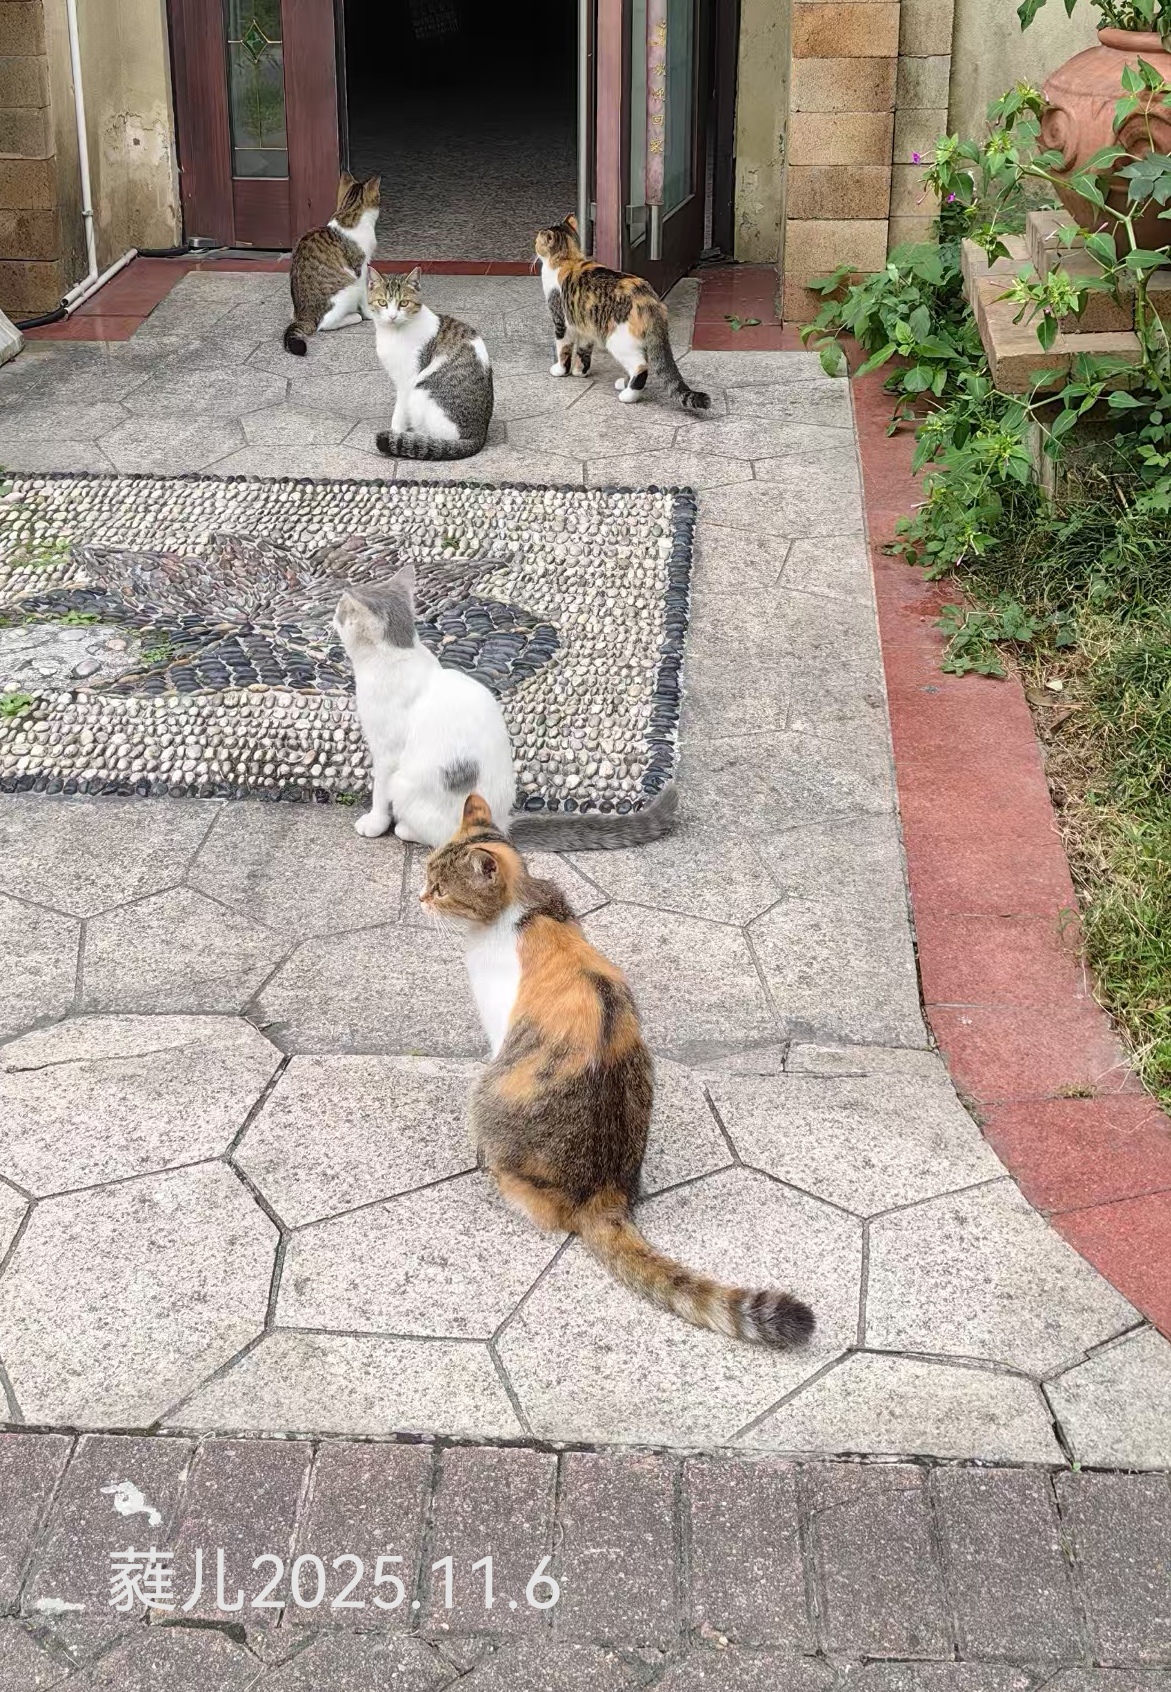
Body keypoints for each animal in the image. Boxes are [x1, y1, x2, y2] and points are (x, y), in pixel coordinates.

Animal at [283, 172, 382, 356]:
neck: (348, 212)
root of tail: (304, 316)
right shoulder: (361, 269)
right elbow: (366, 294)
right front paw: (369, 313)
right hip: (350, 288)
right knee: (324, 324)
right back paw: (354, 317)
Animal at [334, 566, 681, 849]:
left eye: (341, 612)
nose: (333, 614)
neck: (397, 654)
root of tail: (499, 826)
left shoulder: (387, 753)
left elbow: (380, 792)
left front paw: (374, 823)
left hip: (408, 783)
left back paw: (406, 829)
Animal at [367, 268, 494, 460]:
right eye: (383, 302)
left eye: (404, 303)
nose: (392, 316)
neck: (393, 333)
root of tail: (478, 435)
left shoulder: (408, 380)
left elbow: (399, 412)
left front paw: (395, 432)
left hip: (420, 391)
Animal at [422, 794, 816, 1347]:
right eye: (426, 875)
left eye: (440, 888)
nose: (419, 897)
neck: (525, 909)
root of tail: (603, 1194)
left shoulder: (500, 1035)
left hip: (491, 1096)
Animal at [534, 215, 710, 411]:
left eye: (537, 241)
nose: (534, 243)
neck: (568, 259)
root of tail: (650, 300)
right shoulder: (585, 324)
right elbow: (583, 351)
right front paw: (580, 372)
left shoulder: (561, 321)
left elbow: (563, 349)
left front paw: (560, 370)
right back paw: (624, 384)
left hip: (618, 340)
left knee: (641, 366)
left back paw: (628, 395)